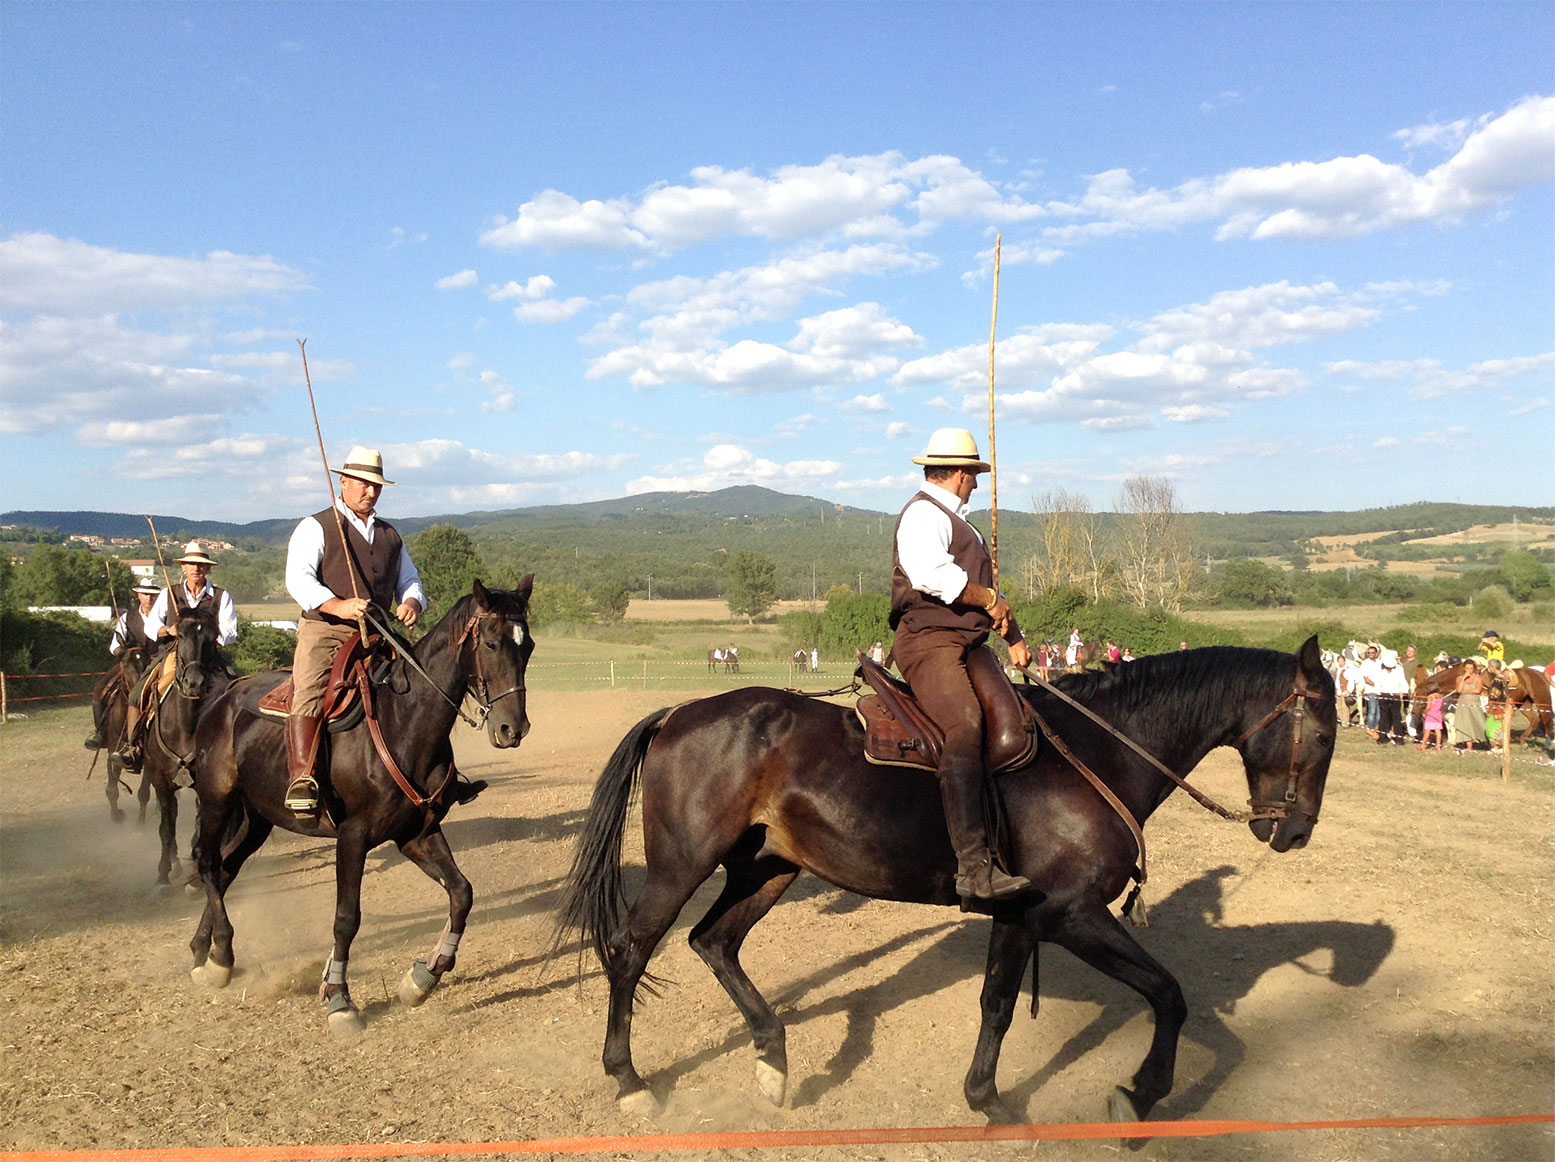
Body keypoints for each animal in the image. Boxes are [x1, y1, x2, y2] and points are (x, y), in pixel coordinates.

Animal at [188, 581, 534, 1039]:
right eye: (492, 643)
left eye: (528, 646)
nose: (513, 729)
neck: (402, 722)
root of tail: (221, 697)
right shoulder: (352, 838)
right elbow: (346, 917)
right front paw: (339, 998)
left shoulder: (416, 835)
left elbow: (462, 894)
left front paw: (422, 978)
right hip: (216, 801)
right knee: (209, 864)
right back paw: (222, 955)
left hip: (256, 818)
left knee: (226, 869)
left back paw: (203, 953)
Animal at [559, 637, 1337, 1126]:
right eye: (1326, 733)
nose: (1296, 832)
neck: (1098, 753)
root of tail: (678, 713)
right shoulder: (1072, 914)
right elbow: (1169, 996)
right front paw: (1138, 1096)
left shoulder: (1021, 915)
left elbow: (996, 1003)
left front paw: (986, 1099)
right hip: (680, 864)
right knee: (630, 950)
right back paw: (630, 1083)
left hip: (768, 869)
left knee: (713, 943)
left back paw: (773, 1060)